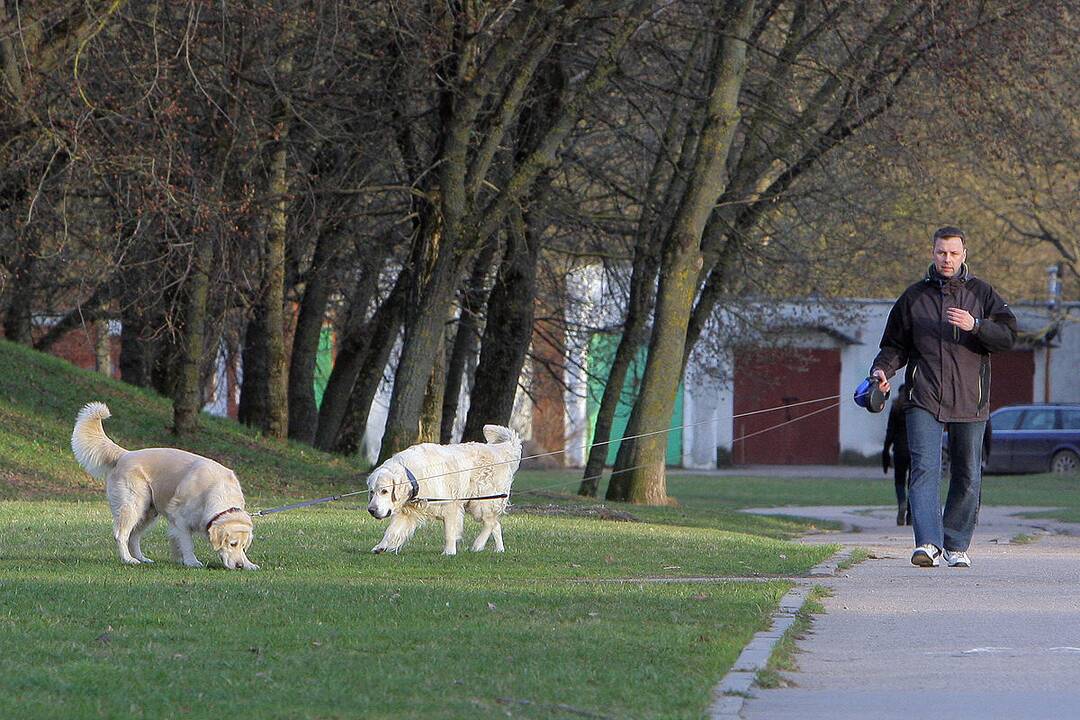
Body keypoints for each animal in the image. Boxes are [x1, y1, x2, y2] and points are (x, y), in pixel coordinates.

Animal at [71, 403, 259, 569]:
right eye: (232, 544)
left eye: (243, 547)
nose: (239, 566)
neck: (218, 491)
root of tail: (125, 454)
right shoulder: (180, 519)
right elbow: (187, 543)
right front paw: (191, 562)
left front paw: (249, 563)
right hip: (133, 506)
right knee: (121, 535)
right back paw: (128, 559)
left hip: (148, 512)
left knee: (134, 536)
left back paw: (141, 558)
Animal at [367, 425, 522, 557]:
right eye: (372, 492)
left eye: (385, 491)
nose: (371, 510)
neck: (413, 475)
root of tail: (499, 450)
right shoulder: (408, 512)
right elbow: (391, 531)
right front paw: (381, 546)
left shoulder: (450, 505)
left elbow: (449, 531)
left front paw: (449, 552)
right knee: (496, 523)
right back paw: (499, 549)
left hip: (481, 502)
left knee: (490, 523)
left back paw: (477, 545)